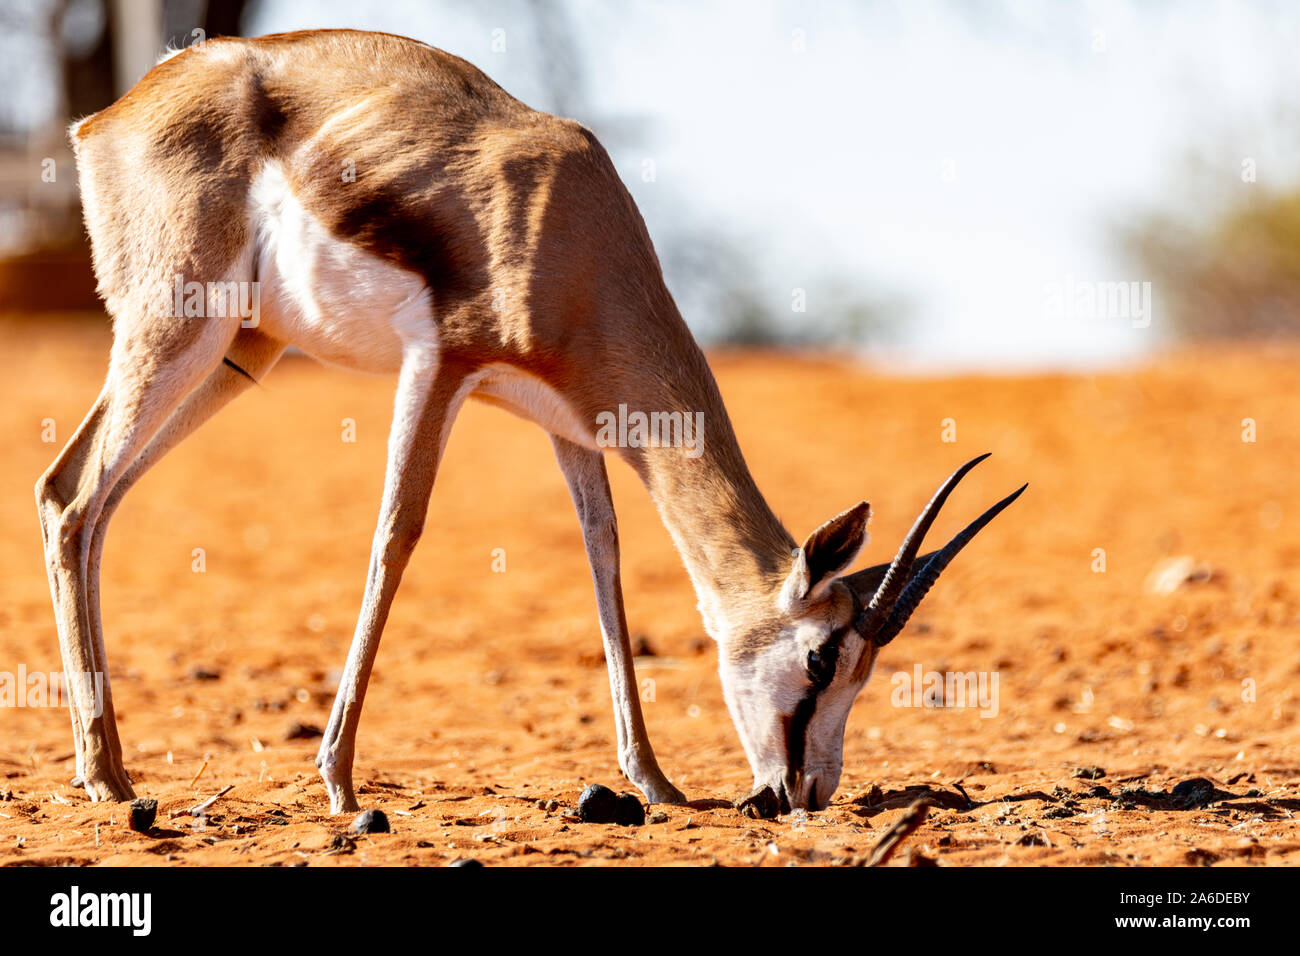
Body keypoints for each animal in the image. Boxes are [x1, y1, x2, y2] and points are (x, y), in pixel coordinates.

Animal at [35, 29, 1019, 816]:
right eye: (820, 661)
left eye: (865, 672)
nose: (805, 791)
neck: (570, 232)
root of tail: (108, 116)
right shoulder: (441, 368)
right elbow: (397, 534)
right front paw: (340, 780)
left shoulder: (573, 426)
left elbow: (604, 559)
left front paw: (653, 781)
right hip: (178, 326)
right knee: (76, 500)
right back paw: (110, 779)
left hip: (240, 351)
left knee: (76, 494)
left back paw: (104, 766)